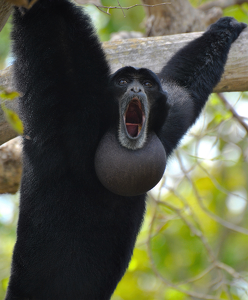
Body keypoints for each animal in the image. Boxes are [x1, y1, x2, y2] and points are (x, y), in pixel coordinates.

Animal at [4, 0, 247, 298]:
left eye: (147, 84)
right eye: (123, 83)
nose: (135, 89)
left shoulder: (171, 117)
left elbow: (184, 87)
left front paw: (225, 28)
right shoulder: (71, 112)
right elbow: (53, 26)